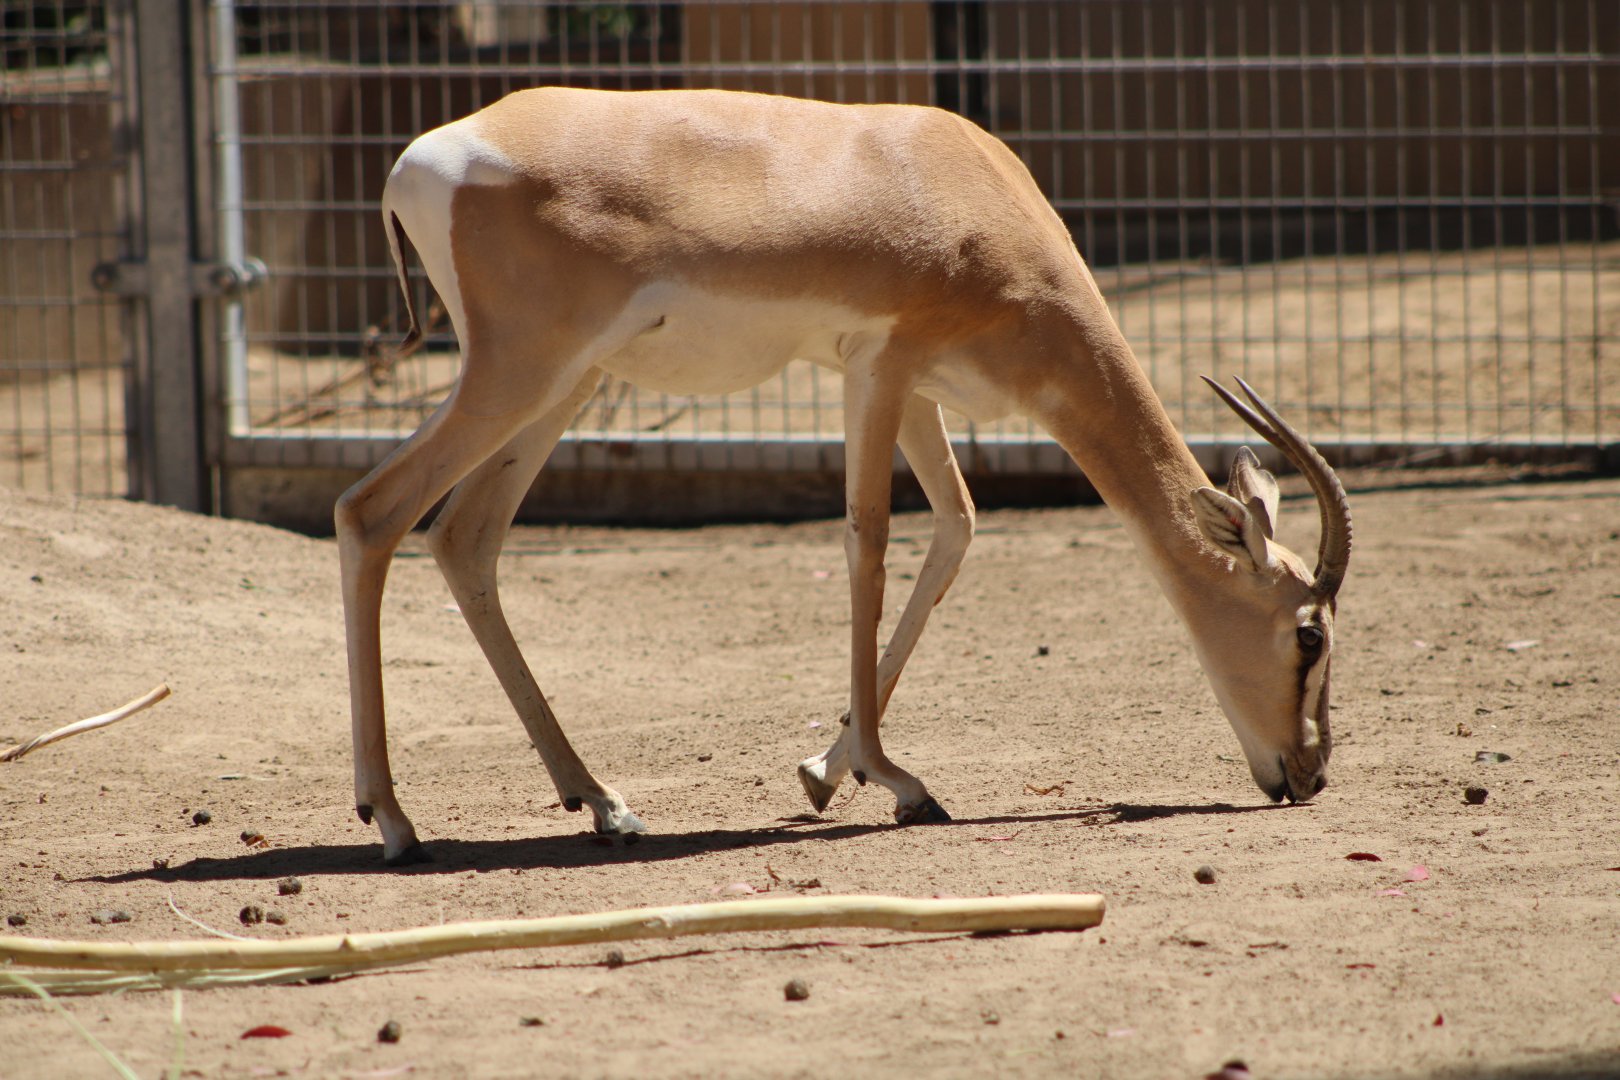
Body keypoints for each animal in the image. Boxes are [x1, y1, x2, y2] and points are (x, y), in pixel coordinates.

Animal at [338, 87, 1352, 864]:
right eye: (1309, 634)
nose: (1309, 775)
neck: (970, 195)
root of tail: (418, 160)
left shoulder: (920, 389)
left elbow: (957, 528)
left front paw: (828, 773)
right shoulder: (879, 365)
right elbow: (869, 541)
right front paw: (898, 779)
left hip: (563, 384)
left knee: (465, 536)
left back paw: (605, 804)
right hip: (517, 376)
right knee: (370, 510)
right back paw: (393, 822)